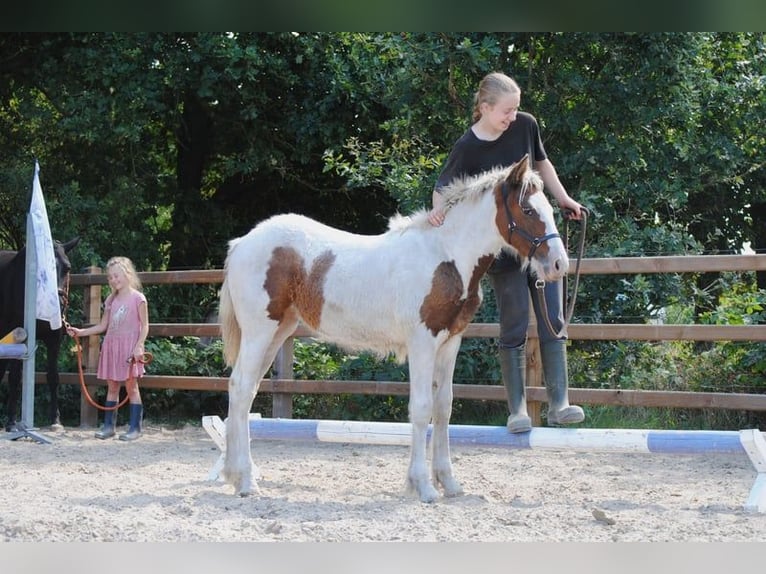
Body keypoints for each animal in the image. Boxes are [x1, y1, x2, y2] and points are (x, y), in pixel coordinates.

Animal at [0, 237, 80, 431]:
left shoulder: (54, 340)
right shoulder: (21, 339)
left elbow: (53, 377)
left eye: (67, 268)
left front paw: (56, 420)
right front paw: (12, 421)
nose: (58, 304)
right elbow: (15, 378)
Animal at [218, 154, 568, 502]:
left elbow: (444, 408)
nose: (559, 265)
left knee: (243, 389)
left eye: (551, 210)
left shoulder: (450, 342)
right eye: (528, 210)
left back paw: (234, 475)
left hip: (279, 332)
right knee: (241, 387)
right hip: (259, 332)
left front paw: (449, 482)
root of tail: (241, 243)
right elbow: (422, 408)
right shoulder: (422, 342)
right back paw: (247, 481)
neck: (446, 257)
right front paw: (423, 486)